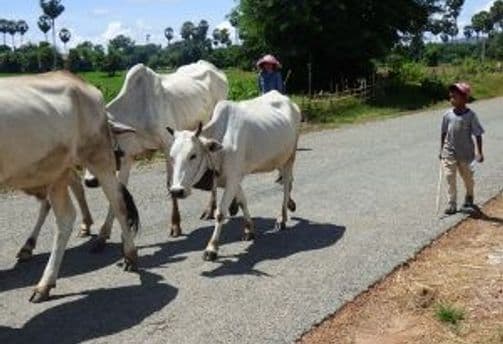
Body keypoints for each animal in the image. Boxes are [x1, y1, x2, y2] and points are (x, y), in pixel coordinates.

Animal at [0, 72, 140, 300]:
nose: (119, 151)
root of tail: (78, 80)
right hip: (56, 170)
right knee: (64, 213)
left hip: (98, 158)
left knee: (117, 203)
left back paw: (129, 255)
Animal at [85, 59, 229, 247]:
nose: (90, 181)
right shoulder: (127, 156)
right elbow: (117, 193)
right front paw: (103, 234)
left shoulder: (168, 146)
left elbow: (170, 184)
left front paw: (175, 225)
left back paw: (210, 209)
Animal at [167, 91, 302, 260]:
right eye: (171, 157)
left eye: (193, 155)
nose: (176, 191)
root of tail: (286, 99)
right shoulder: (233, 178)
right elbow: (243, 201)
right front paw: (249, 229)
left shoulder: (232, 178)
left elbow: (220, 213)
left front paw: (211, 248)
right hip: (279, 158)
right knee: (287, 182)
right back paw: (290, 206)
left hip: (290, 157)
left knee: (286, 186)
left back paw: (282, 218)